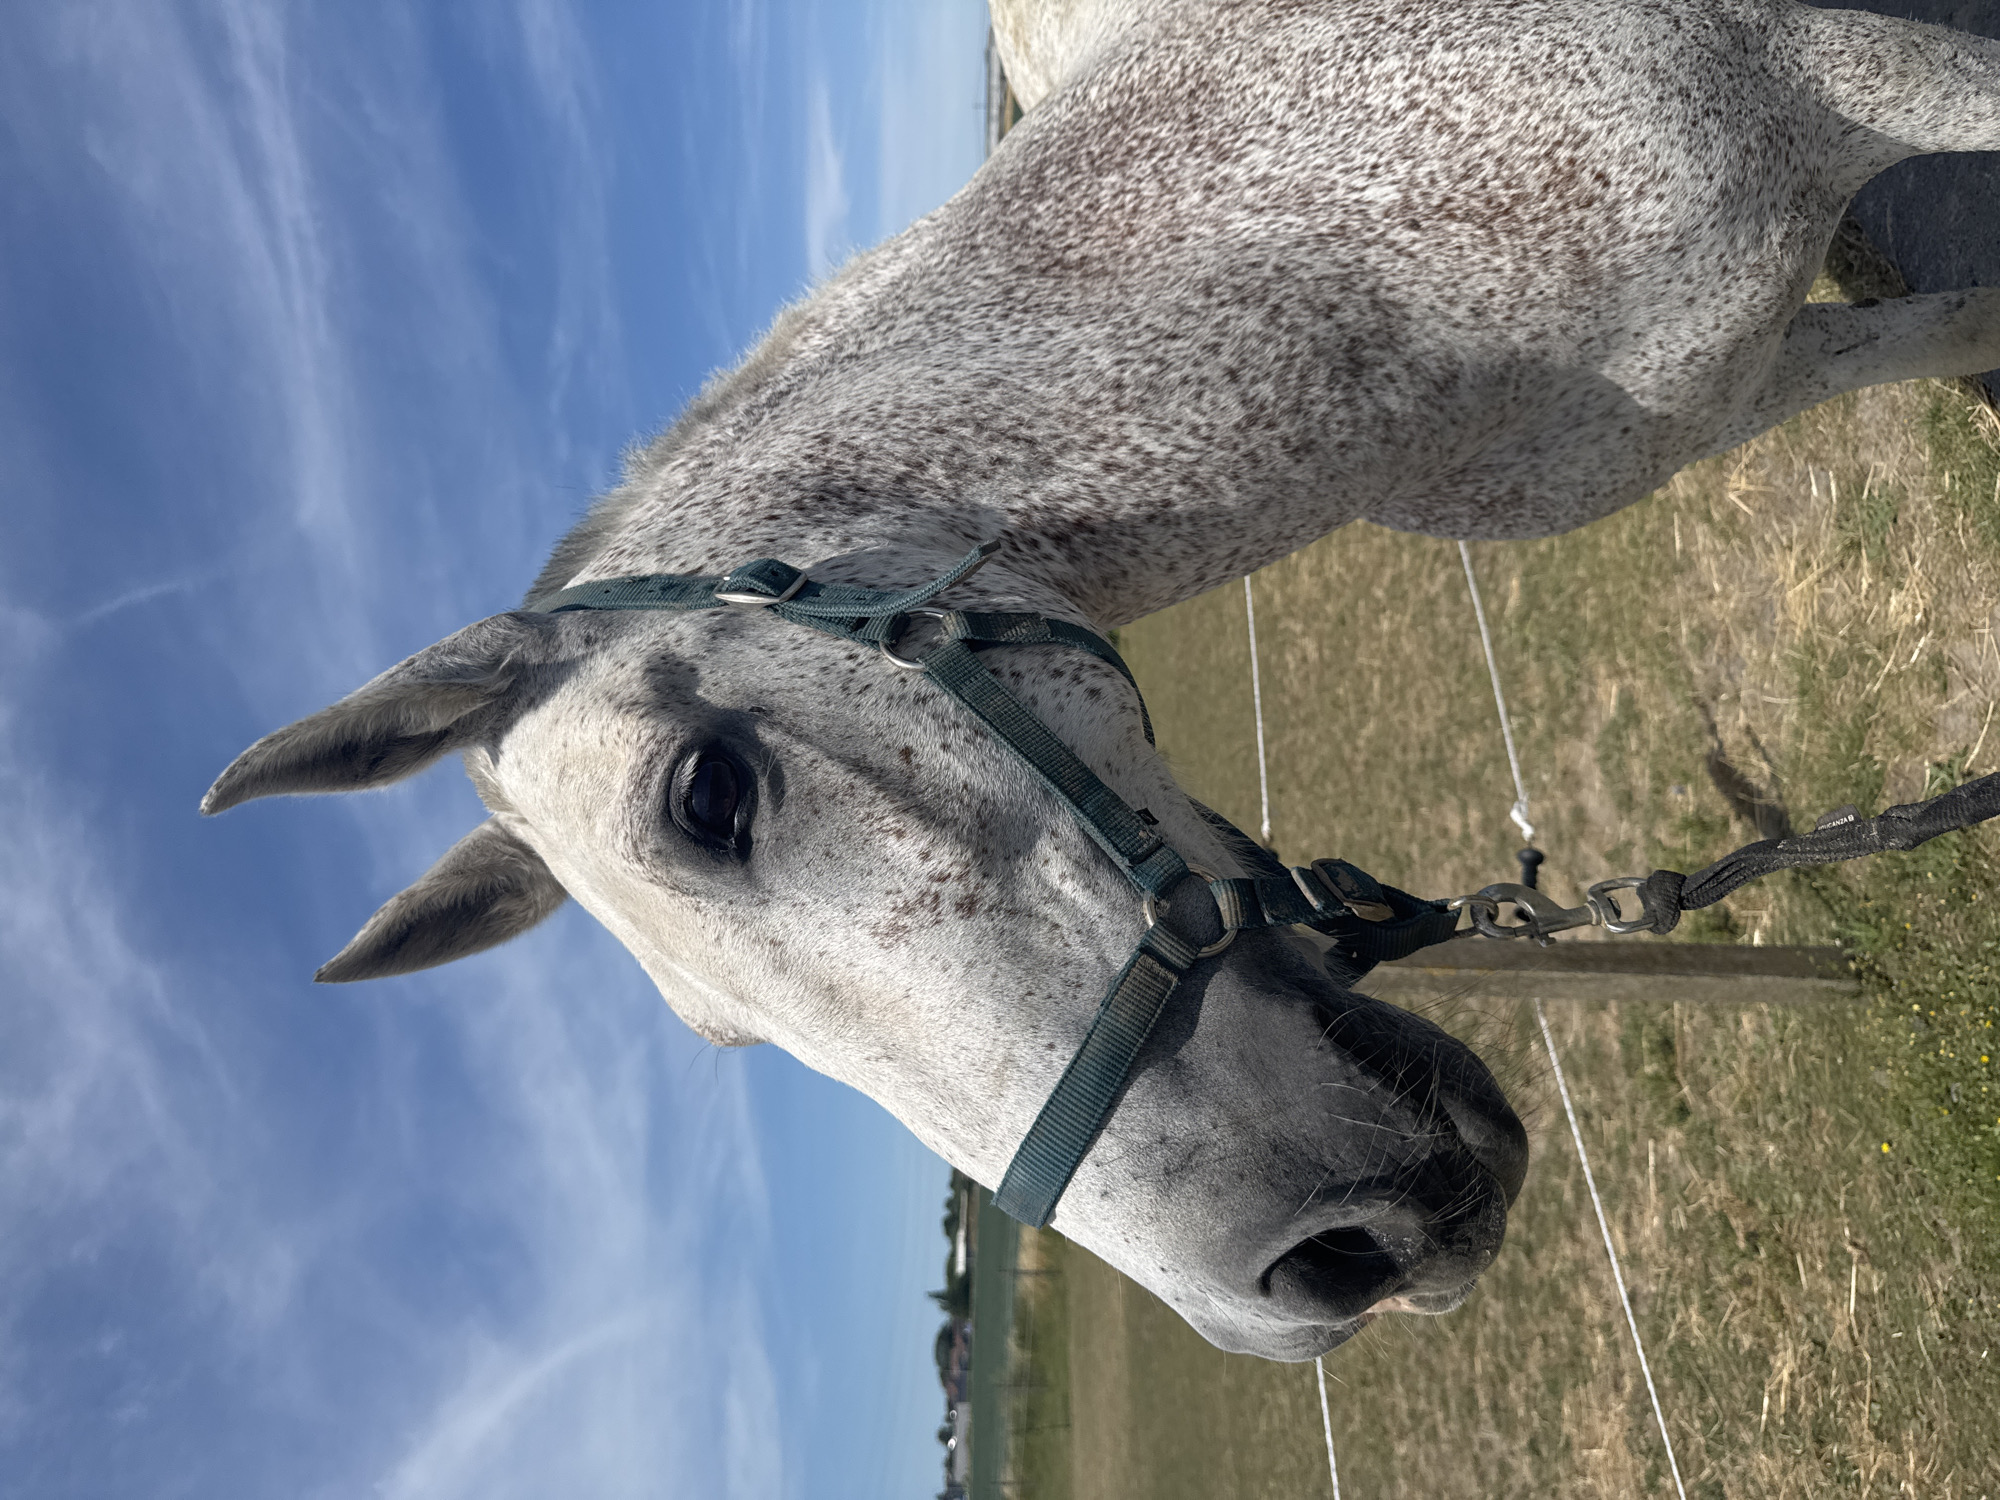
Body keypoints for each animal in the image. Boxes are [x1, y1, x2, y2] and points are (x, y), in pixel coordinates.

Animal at [202, 0, 2000, 1360]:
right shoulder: (1732, 386)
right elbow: (1954, 330)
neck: (1353, 276)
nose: (1323, 1266)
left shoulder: (1854, 64)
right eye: (721, 1036)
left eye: (709, 795)